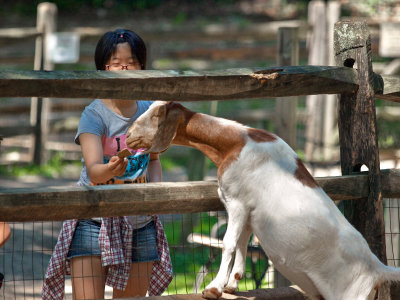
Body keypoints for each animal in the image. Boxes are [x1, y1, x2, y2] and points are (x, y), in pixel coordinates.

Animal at [126, 101, 400, 300]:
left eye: (155, 115)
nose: (128, 135)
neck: (235, 143)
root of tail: (378, 270)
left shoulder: (237, 202)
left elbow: (228, 243)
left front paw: (213, 288)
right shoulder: (248, 211)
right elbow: (241, 243)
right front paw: (232, 284)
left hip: (350, 295)